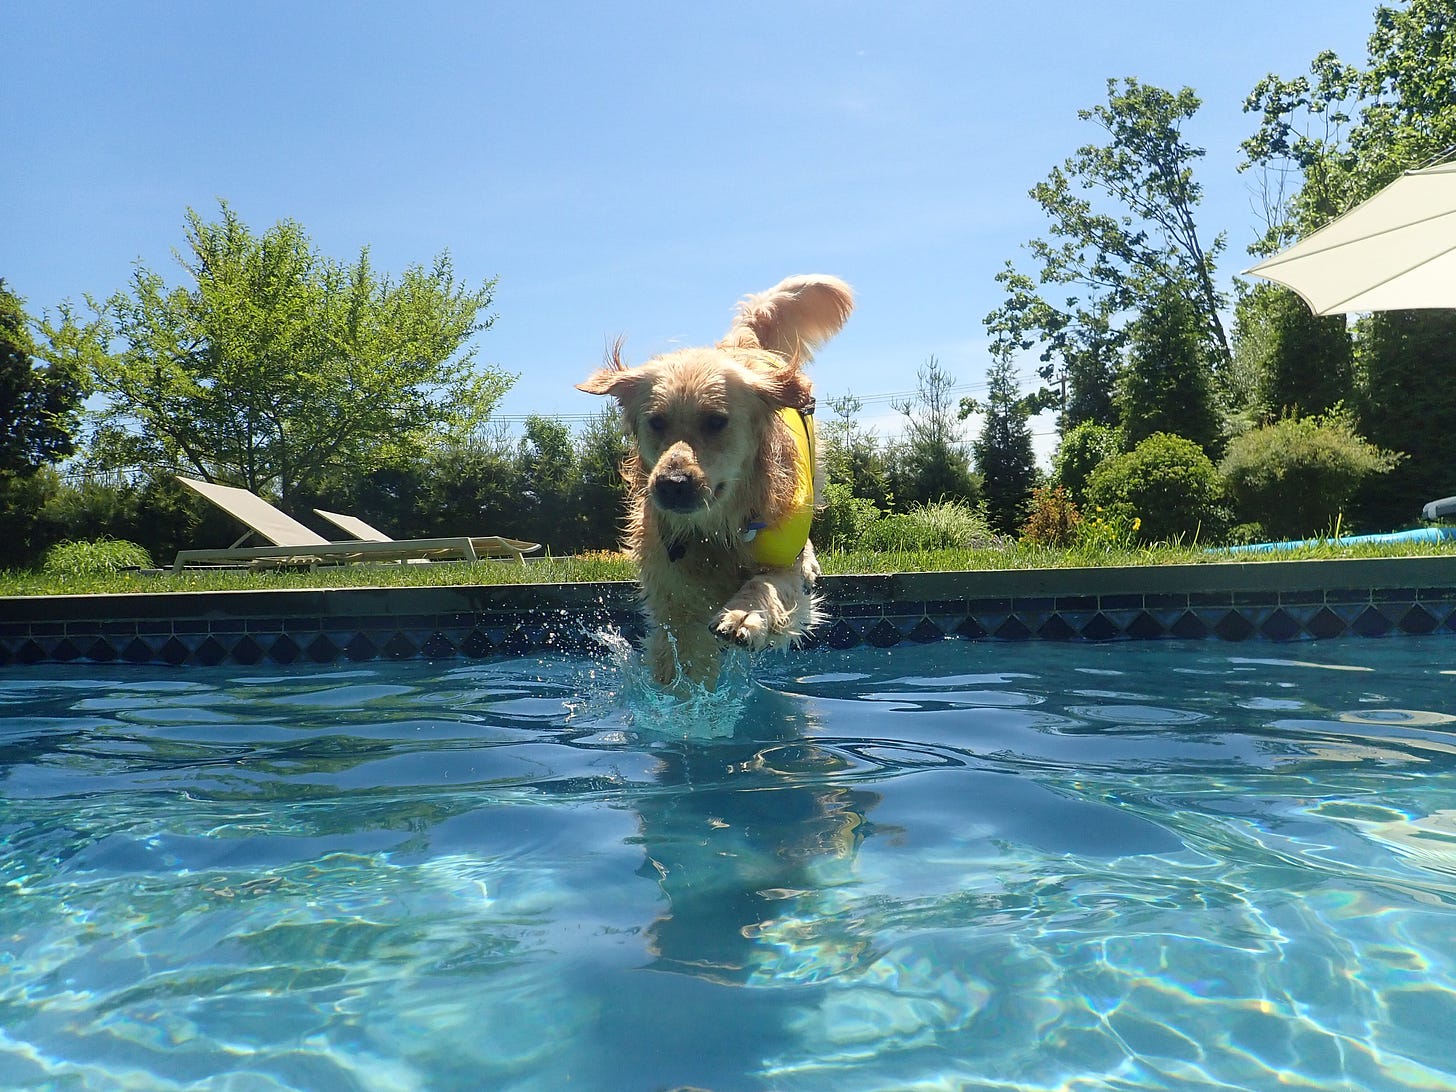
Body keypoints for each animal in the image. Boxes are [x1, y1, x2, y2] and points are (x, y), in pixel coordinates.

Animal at [576, 272, 850, 687]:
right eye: (657, 422)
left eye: (716, 421)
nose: (672, 483)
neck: (715, 530)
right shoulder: (673, 597)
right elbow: (681, 655)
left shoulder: (781, 561)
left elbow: (770, 583)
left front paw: (744, 615)